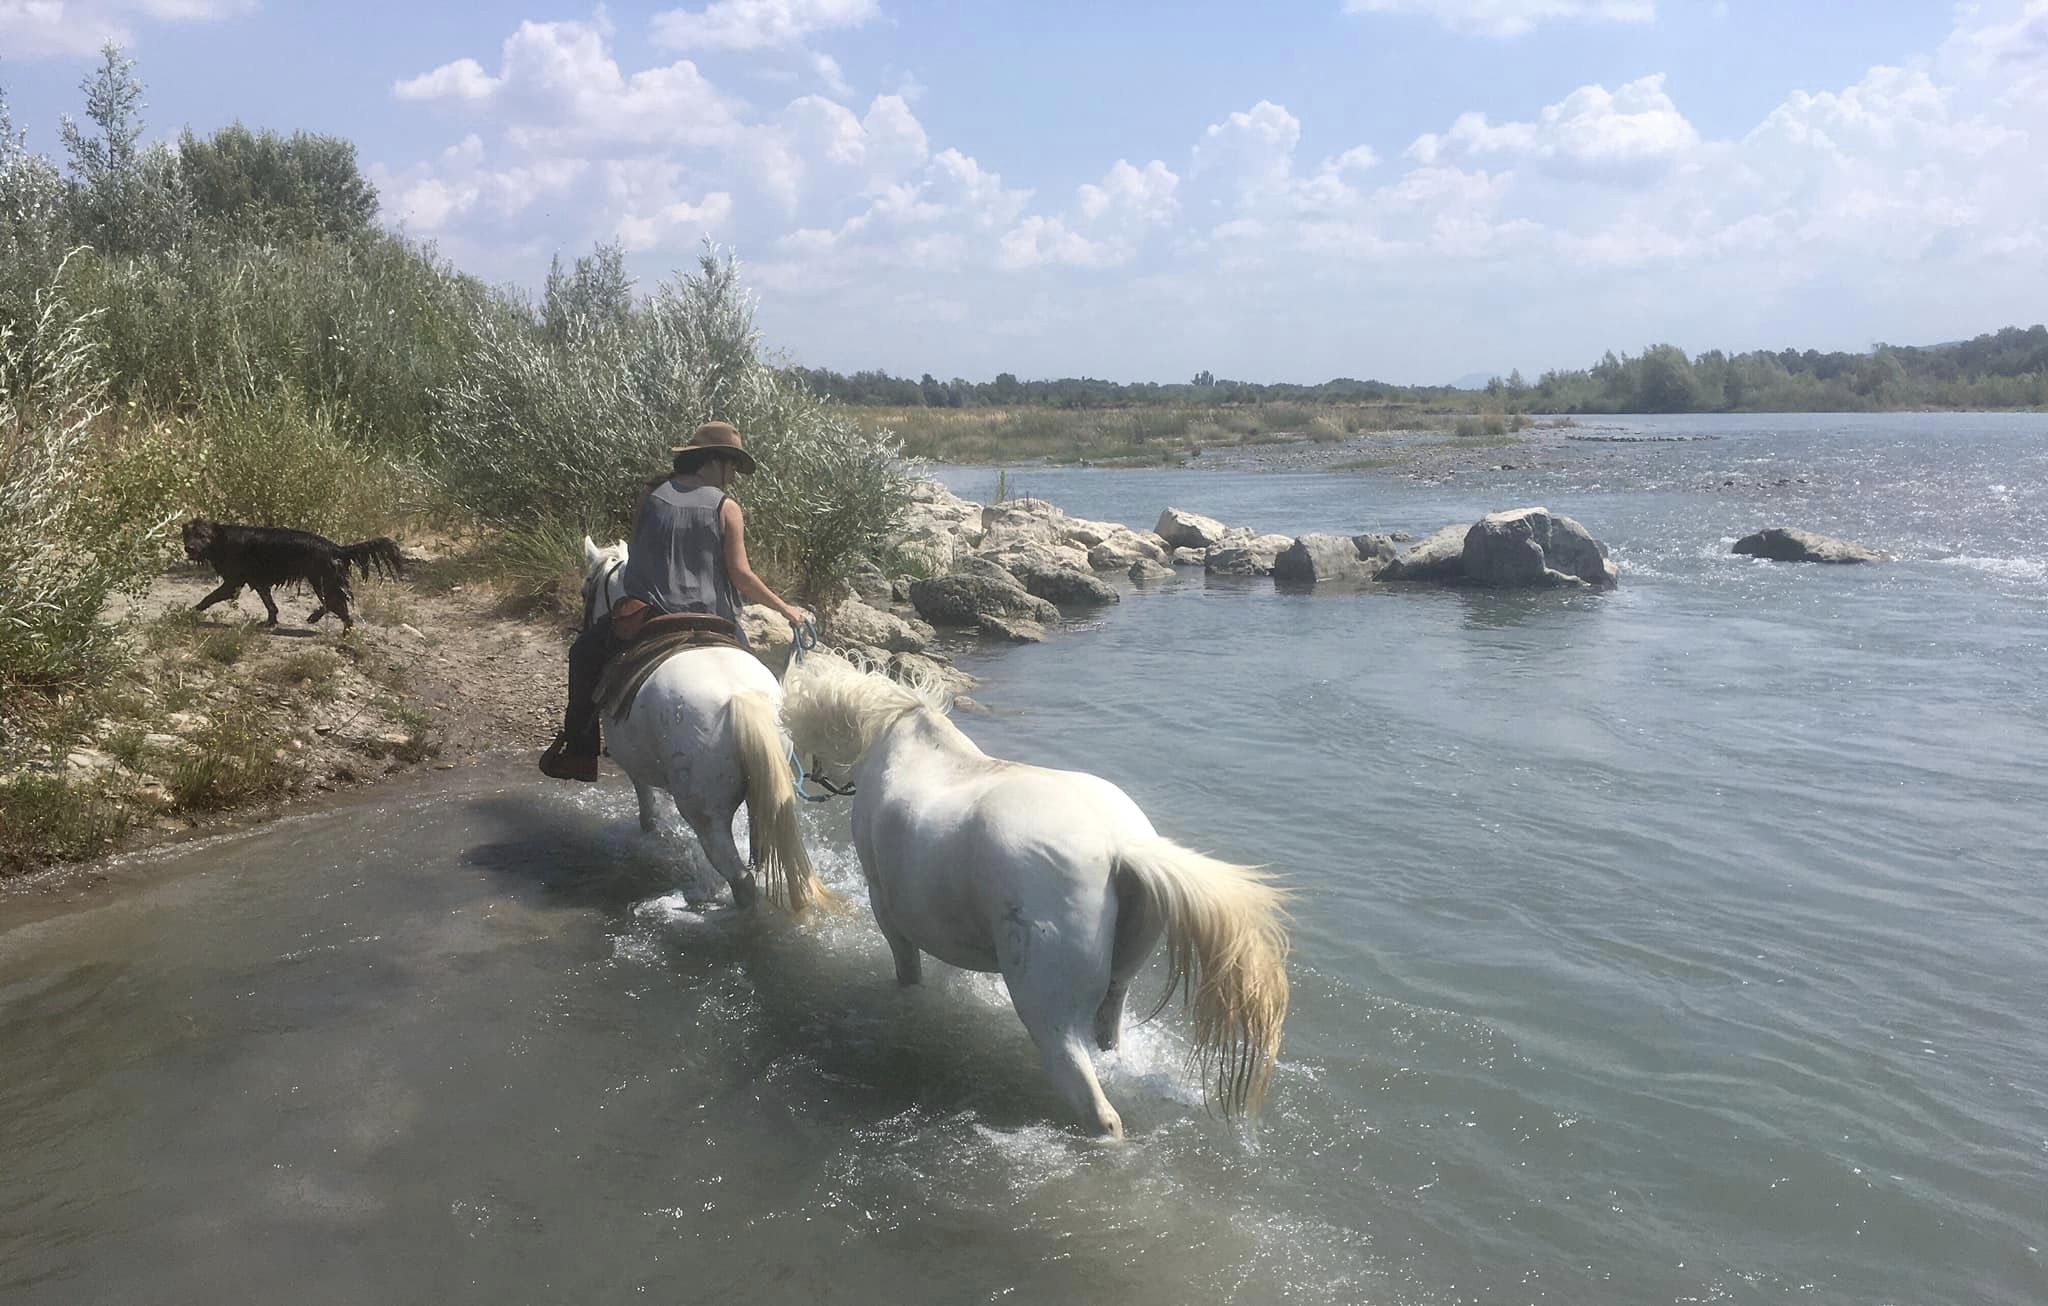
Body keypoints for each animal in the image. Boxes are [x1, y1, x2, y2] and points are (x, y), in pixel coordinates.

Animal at [579, 537, 828, 916]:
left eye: (585, 591)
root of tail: (741, 698)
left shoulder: (636, 769)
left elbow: (649, 815)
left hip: (706, 815)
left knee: (740, 878)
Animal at [781, 650, 1290, 1137]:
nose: (805, 781)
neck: (898, 739)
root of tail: (1121, 848)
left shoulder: (888, 911)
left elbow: (908, 970)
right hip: (1116, 989)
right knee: (1110, 1042)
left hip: (1049, 1016)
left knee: (1098, 1109)